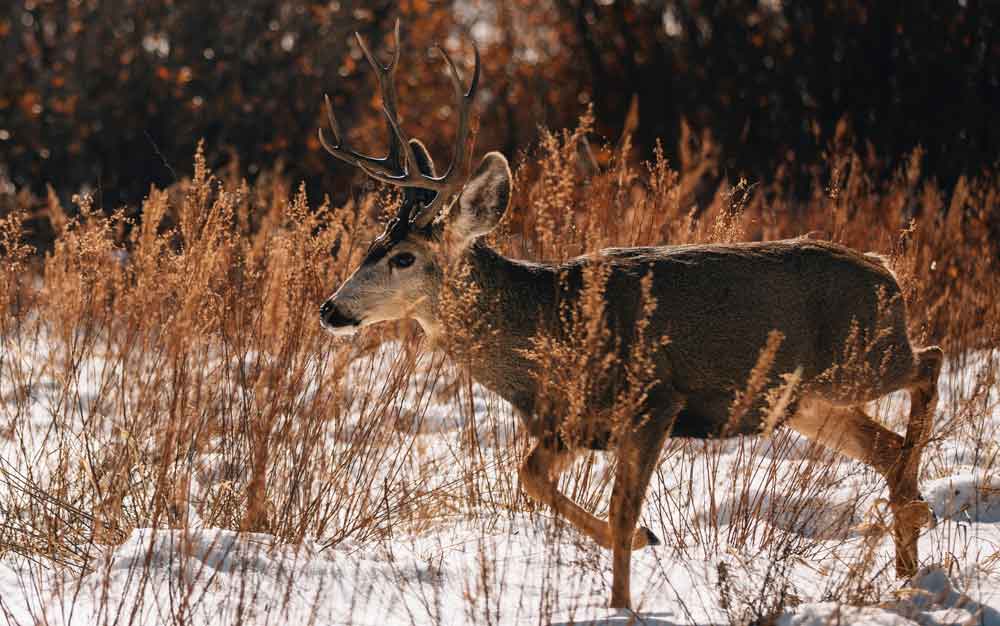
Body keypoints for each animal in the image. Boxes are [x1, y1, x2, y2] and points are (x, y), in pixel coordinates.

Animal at [320, 23, 944, 604]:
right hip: (802, 401)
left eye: (404, 257)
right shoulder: (570, 425)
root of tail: (884, 269)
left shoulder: (653, 401)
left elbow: (620, 514)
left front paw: (623, 598)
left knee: (930, 362)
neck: (550, 326)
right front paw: (646, 543)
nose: (330, 308)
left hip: (859, 359)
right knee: (887, 445)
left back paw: (915, 512)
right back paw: (908, 561)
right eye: (373, 243)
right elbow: (531, 478)